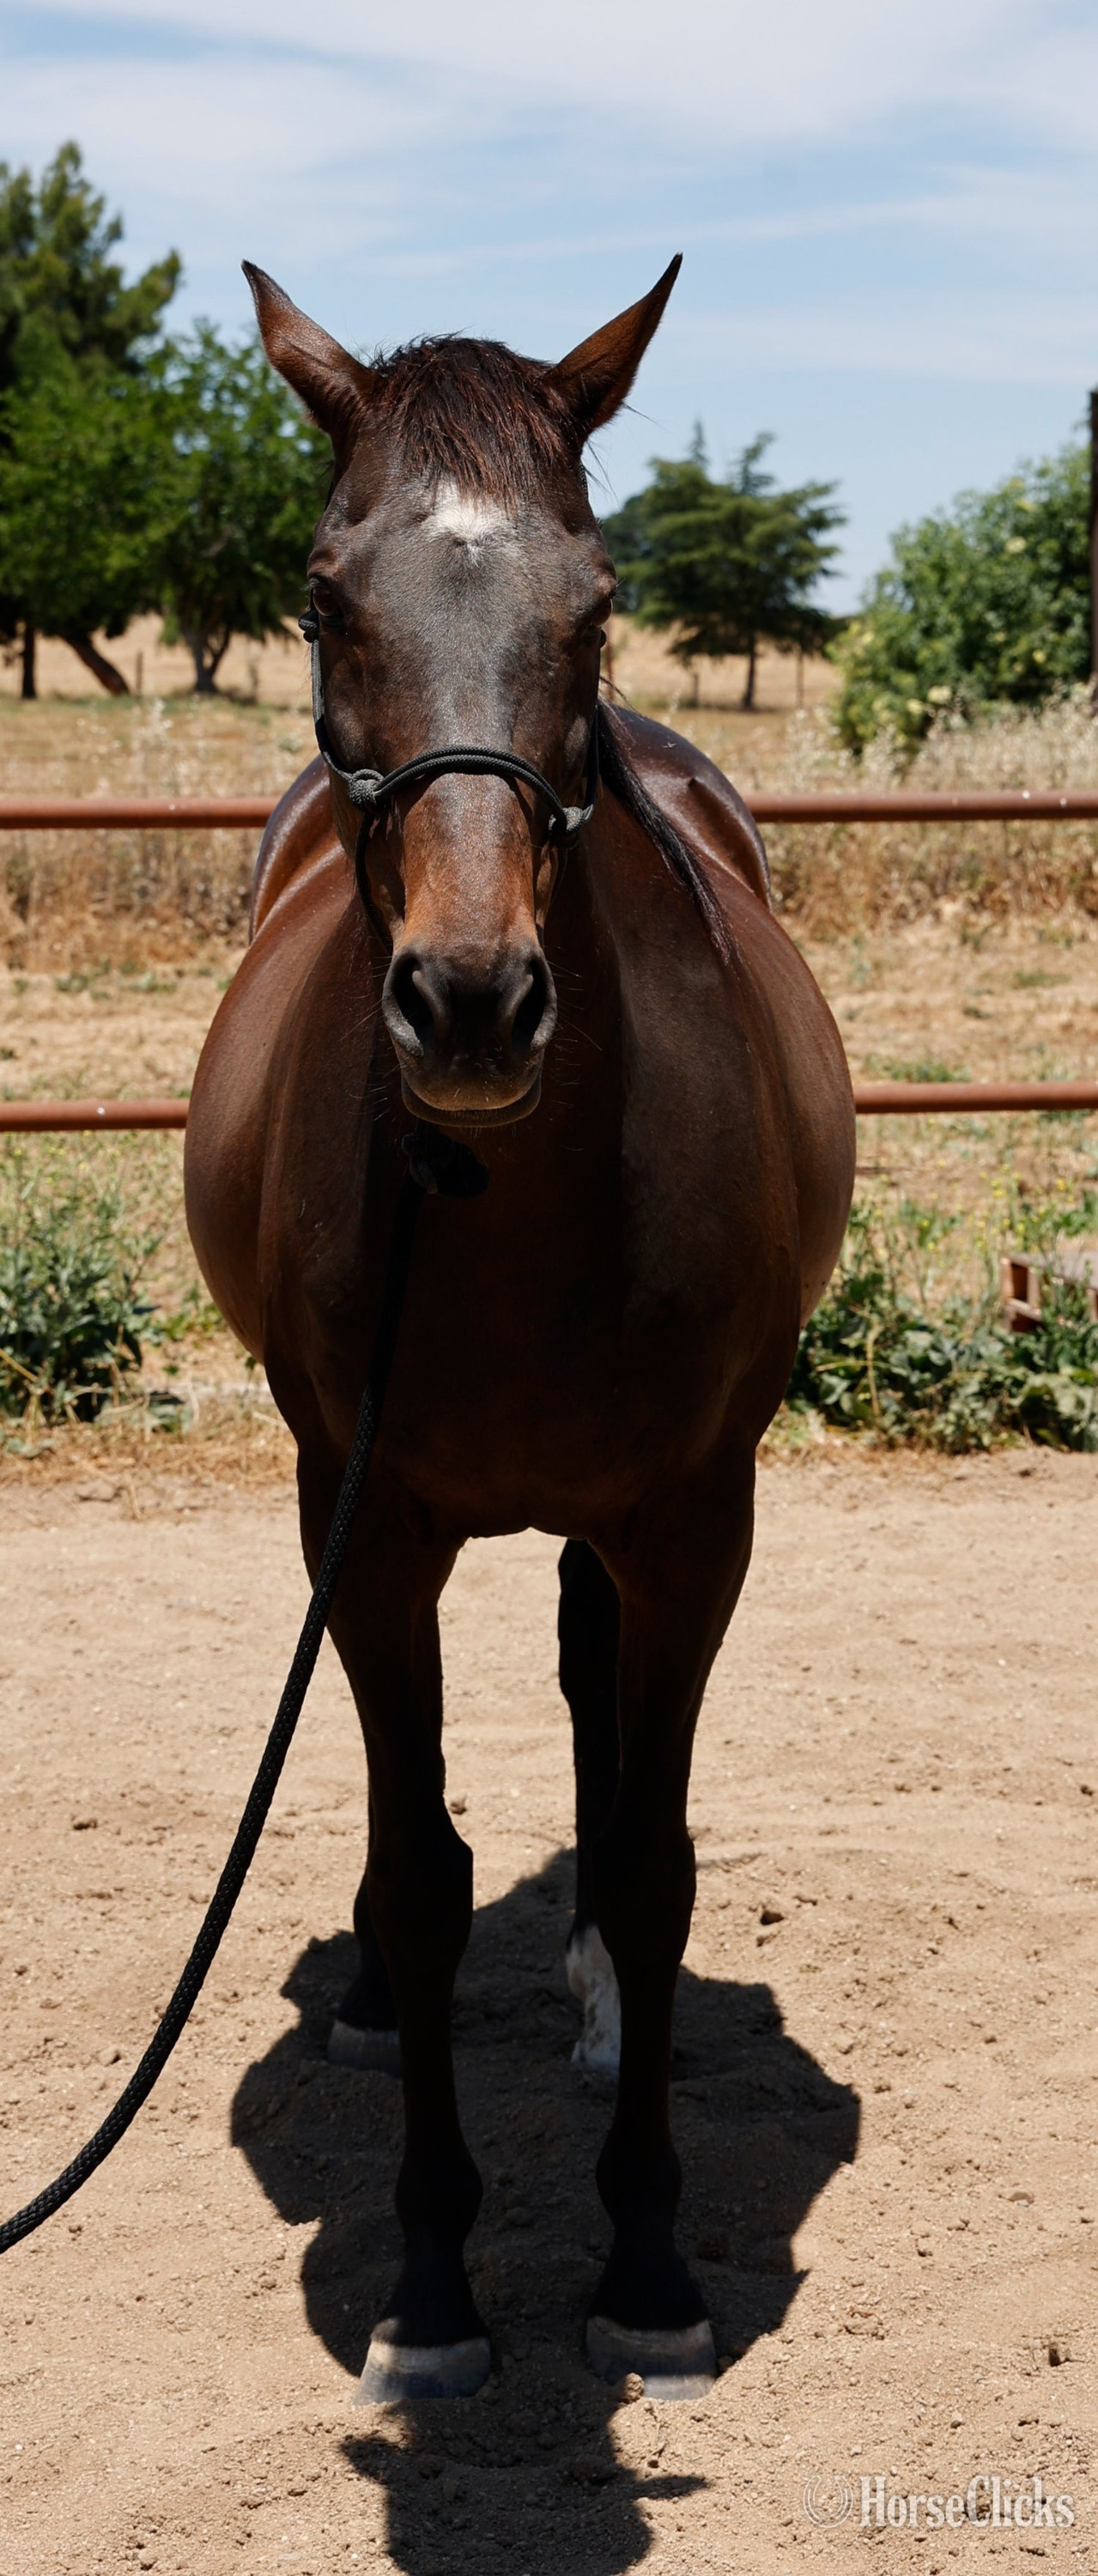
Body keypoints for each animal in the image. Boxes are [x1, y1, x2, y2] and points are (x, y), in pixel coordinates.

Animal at [184, 256, 855, 2404]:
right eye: (326, 598)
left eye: (599, 597)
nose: (471, 1005)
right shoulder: (367, 1520)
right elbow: (416, 1869)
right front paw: (427, 2288)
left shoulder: (694, 1519)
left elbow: (648, 1867)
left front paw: (644, 2266)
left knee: (585, 1707)